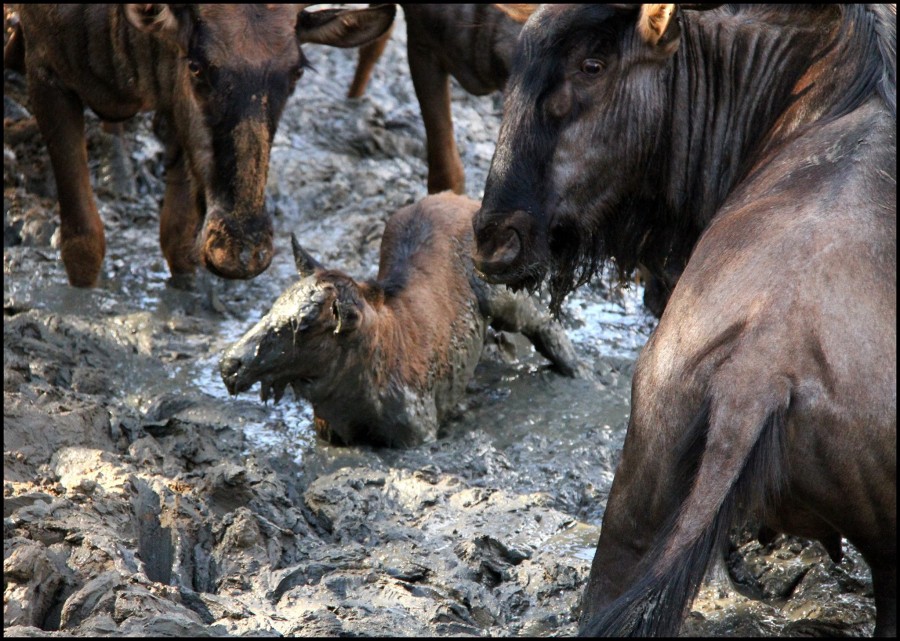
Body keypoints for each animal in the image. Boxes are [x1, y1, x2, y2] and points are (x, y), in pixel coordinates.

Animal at [4, 4, 394, 284]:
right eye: (197, 66)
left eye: (296, 72)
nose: (241, 252)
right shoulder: (46, 72)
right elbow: (83, 244)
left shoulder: (173, 104)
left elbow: (177, 238)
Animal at [218, 192, 584, 448]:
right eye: (274, 305)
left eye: (305, 324)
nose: (229, 364)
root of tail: (461, 198)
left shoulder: (419, 433)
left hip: (500, 292)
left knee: (541, 319)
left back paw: (576, 368)